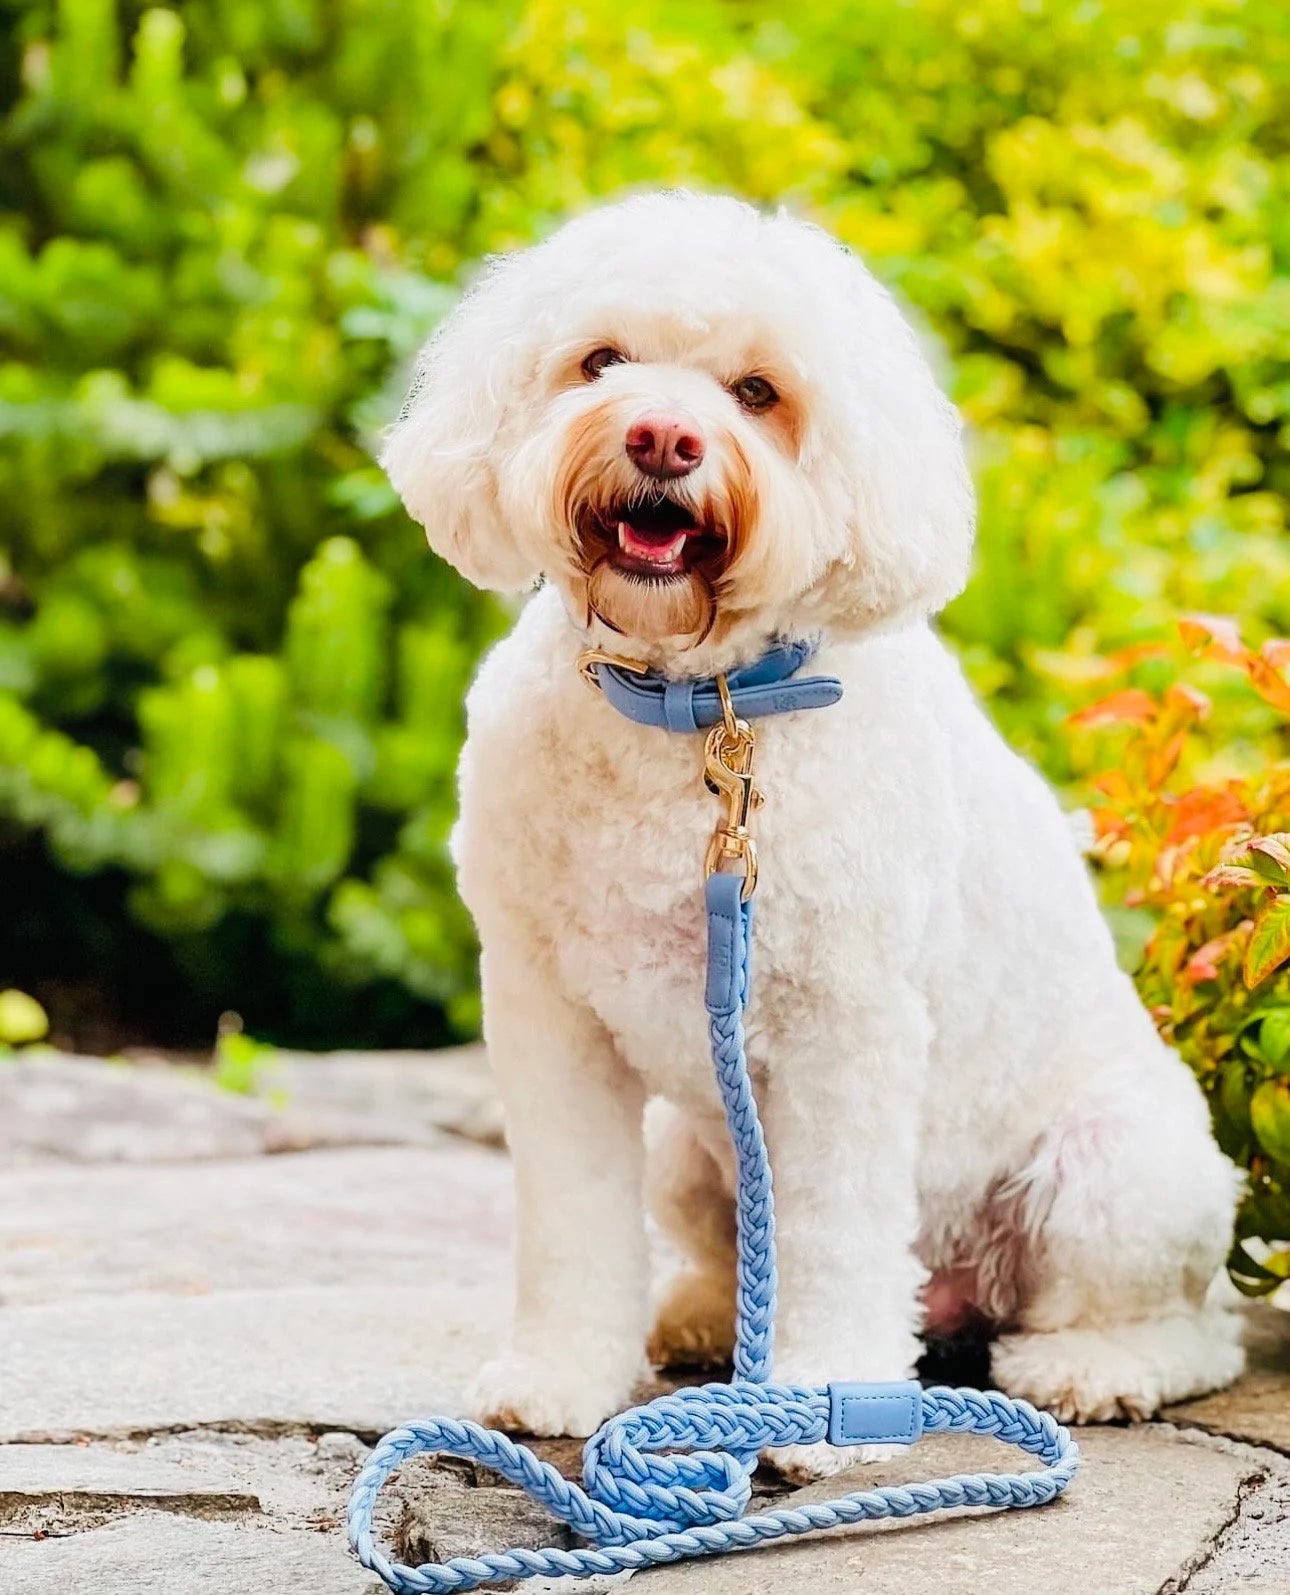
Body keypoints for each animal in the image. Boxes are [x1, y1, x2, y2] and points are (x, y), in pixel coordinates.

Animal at [379, 192, 1237, 1473]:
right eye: (601, 361)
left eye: (758, 392)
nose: (662, 439)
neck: (698, 713)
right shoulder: (548, 1015)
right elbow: (573, 1219)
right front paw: (556, 1375)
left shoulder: (846, 1028)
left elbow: (834, 1229)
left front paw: (823, 1410)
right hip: (690, 1148)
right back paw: (701, 1318)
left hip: (1120, 1172)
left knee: (1183, 1326)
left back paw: (1094, 1366)